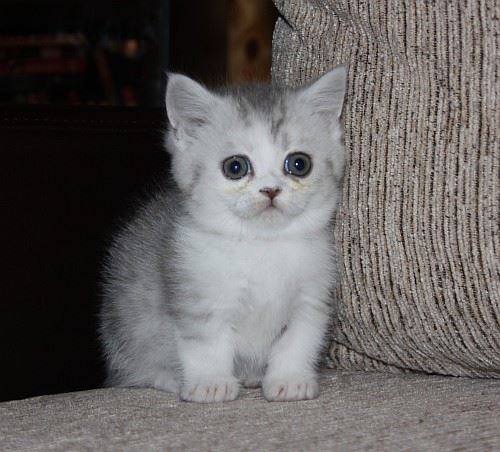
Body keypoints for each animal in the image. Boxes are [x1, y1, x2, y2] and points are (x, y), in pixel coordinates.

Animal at [99, 67, 346, 402]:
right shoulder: (196, 292)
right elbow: (206, 343)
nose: (270, 190)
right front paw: (211, 383)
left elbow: (298, 340)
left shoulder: (311, 296)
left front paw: (290, 379)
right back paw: (167, 377)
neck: (262, 246)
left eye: (299, 163)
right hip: (129, 327)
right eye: (236, 166)